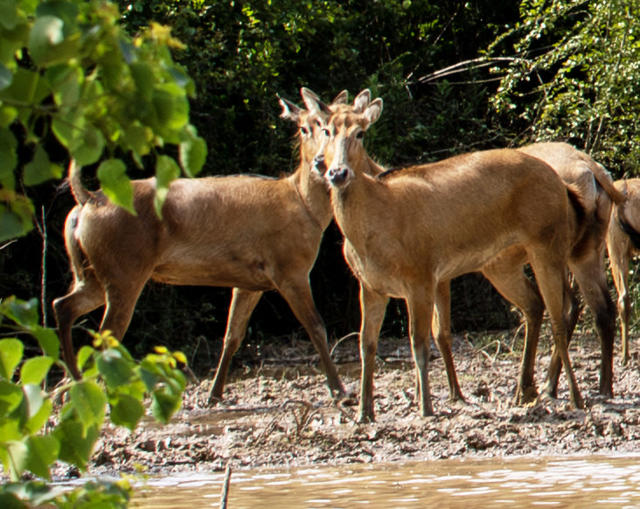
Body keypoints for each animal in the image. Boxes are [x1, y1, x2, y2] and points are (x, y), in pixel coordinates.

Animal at [52, 88, 363, 404]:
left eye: (330, 127)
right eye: (305, 127)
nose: (322, 163)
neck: (304, 206)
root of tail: (88, 201)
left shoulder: (251, 281)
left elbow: (232, 335)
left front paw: (215, 393)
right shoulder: (290, 267)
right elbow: (317, 327)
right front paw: (340, 390)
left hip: (94, 273)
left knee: (63, 304)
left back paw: (67, 386)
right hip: (124, 269)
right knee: (104, 334)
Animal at [313, 91, 584, 422]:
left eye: (360, 133)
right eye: (326, 129)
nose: (337, 172)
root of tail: (563, 186)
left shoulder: (421, 275)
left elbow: (419, 342)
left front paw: (426, 407)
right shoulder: (370, 285)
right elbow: (366, 343)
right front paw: (364, 413)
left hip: (547, 241)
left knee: (560, 313)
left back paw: (570, 396)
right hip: (502, 263)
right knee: (536, 304)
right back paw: (525, 391)